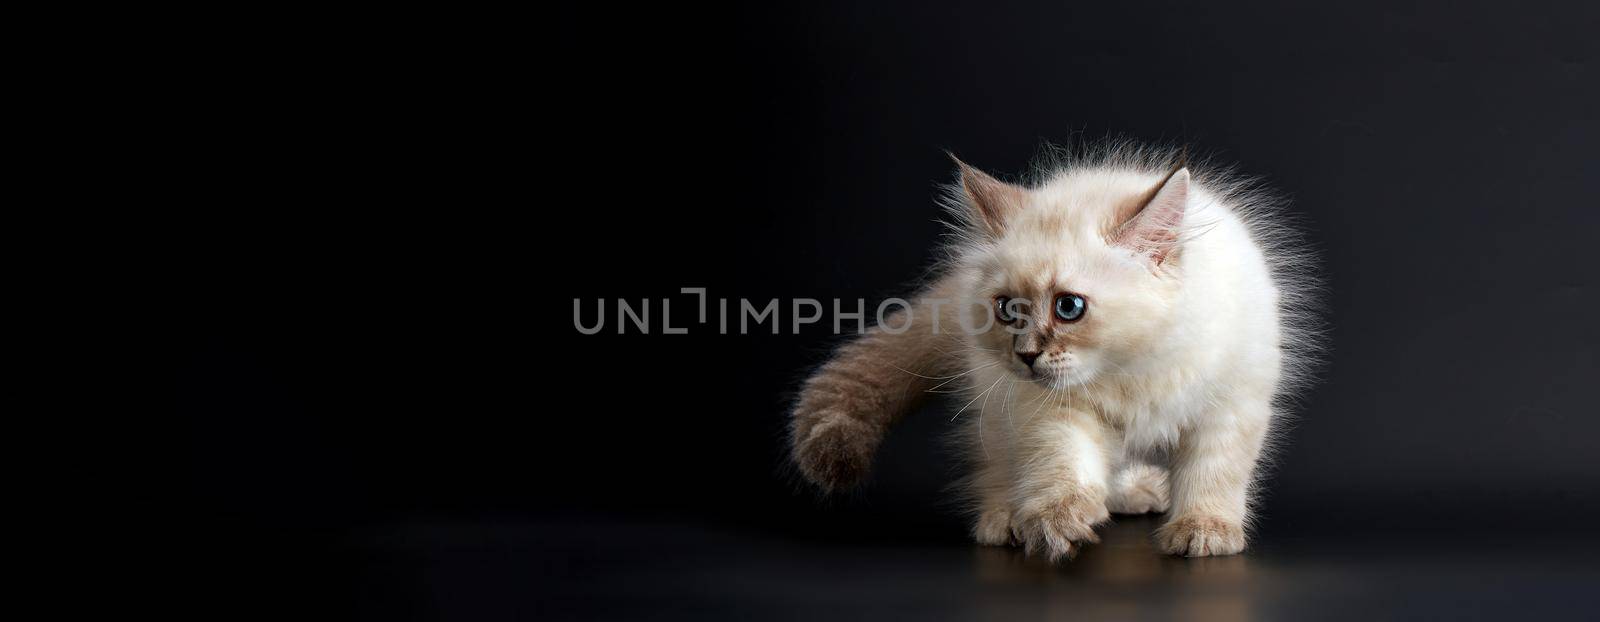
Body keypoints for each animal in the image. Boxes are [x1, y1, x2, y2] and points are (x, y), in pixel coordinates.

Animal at [780, 143, 1318, 559]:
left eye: (1069, 307)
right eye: (1007, 310)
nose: (1025, 355)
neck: (1133, 367)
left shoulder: (1229, 407)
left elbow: (1213, 474)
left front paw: (1203, 531)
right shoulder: (1053, 411)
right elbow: (1063, 466)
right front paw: (1055, 522)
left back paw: (1138, 493)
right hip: (998, 406)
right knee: (999, 467)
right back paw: (1007, 521)